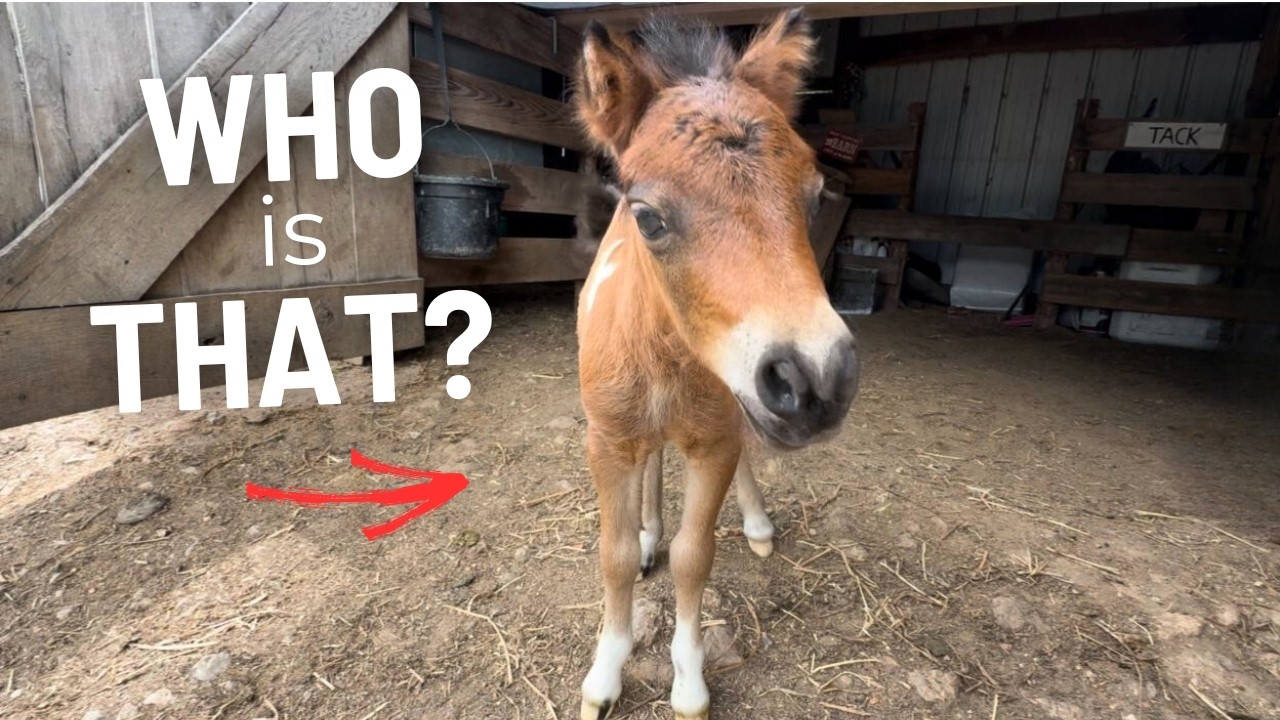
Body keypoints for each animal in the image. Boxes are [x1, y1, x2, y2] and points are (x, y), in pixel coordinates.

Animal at [572, 10, 860, 719]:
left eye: (816, 197)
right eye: (647, 216)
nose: (817, 377)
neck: (667, 360)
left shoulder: (718, 436)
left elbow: (694, 555)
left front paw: (689, 680)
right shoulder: (606, 440)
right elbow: (615, 555)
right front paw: (604, 674)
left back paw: (754, 522)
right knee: (653, 465)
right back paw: (651, 527)